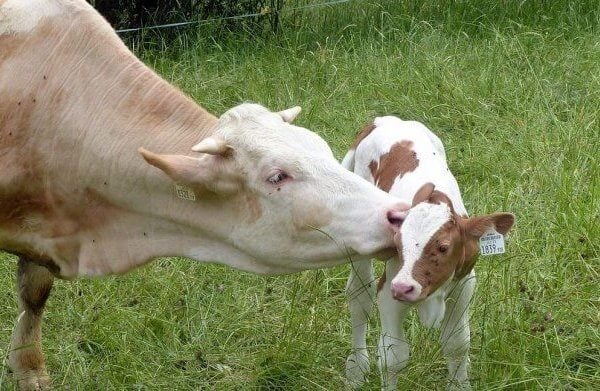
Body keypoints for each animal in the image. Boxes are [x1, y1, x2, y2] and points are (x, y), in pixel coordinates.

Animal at [344, 117, 512, 391]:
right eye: (398, 244)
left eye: (443, 247)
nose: (404, 288)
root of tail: (383, 120)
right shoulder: (390, 288)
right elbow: (393, 356)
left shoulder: (464, 284)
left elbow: (457, 344)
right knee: (359, 295)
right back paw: (357, 367)